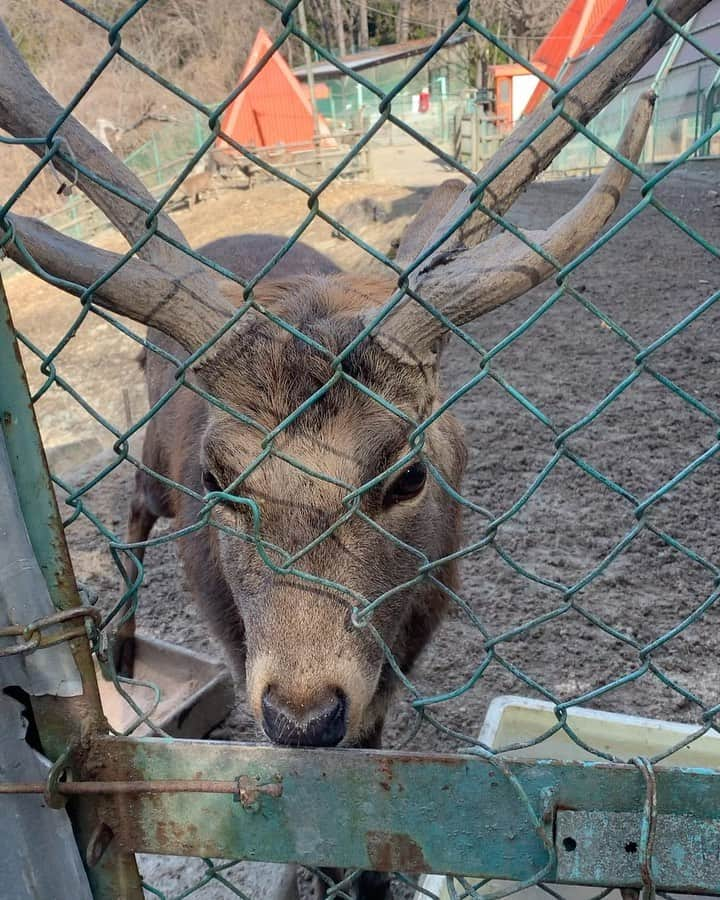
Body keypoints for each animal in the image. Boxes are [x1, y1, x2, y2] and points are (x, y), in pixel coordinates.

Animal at [0, 1, 704, 892]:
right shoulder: (230, 627)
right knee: (128, 512)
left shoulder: (408, 645)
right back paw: (117, 647)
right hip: (151, 464)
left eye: (409, 475)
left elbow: (369, 790)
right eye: (219, 478)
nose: (302, 714)